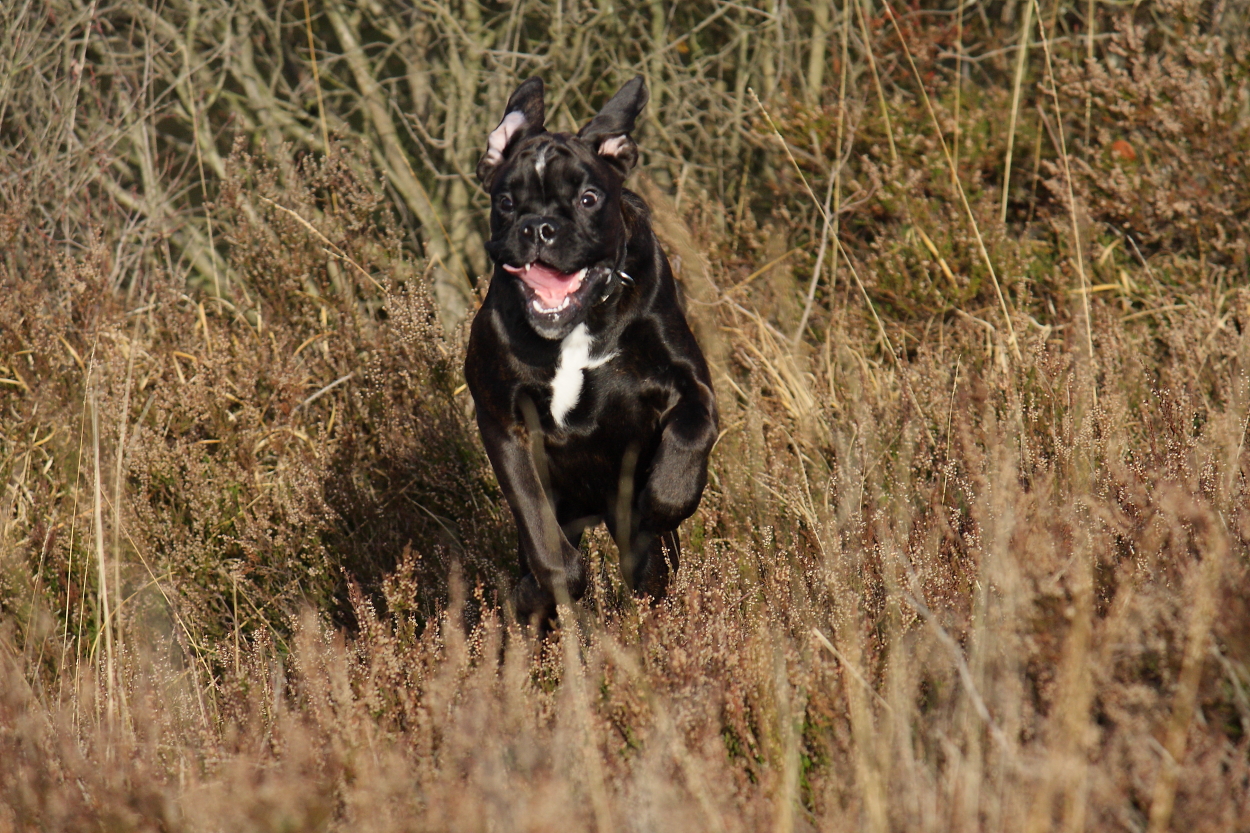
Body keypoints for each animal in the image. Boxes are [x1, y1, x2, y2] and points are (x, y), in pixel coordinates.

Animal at [467, 77, 725, 622]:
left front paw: (663, 497)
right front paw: (540, 588)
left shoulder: (689, 384)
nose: (539, 226)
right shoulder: (503, 423)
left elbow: (690, 436)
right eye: (506, 201)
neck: (577, 330)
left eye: (588, 198)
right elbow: (541, 535)